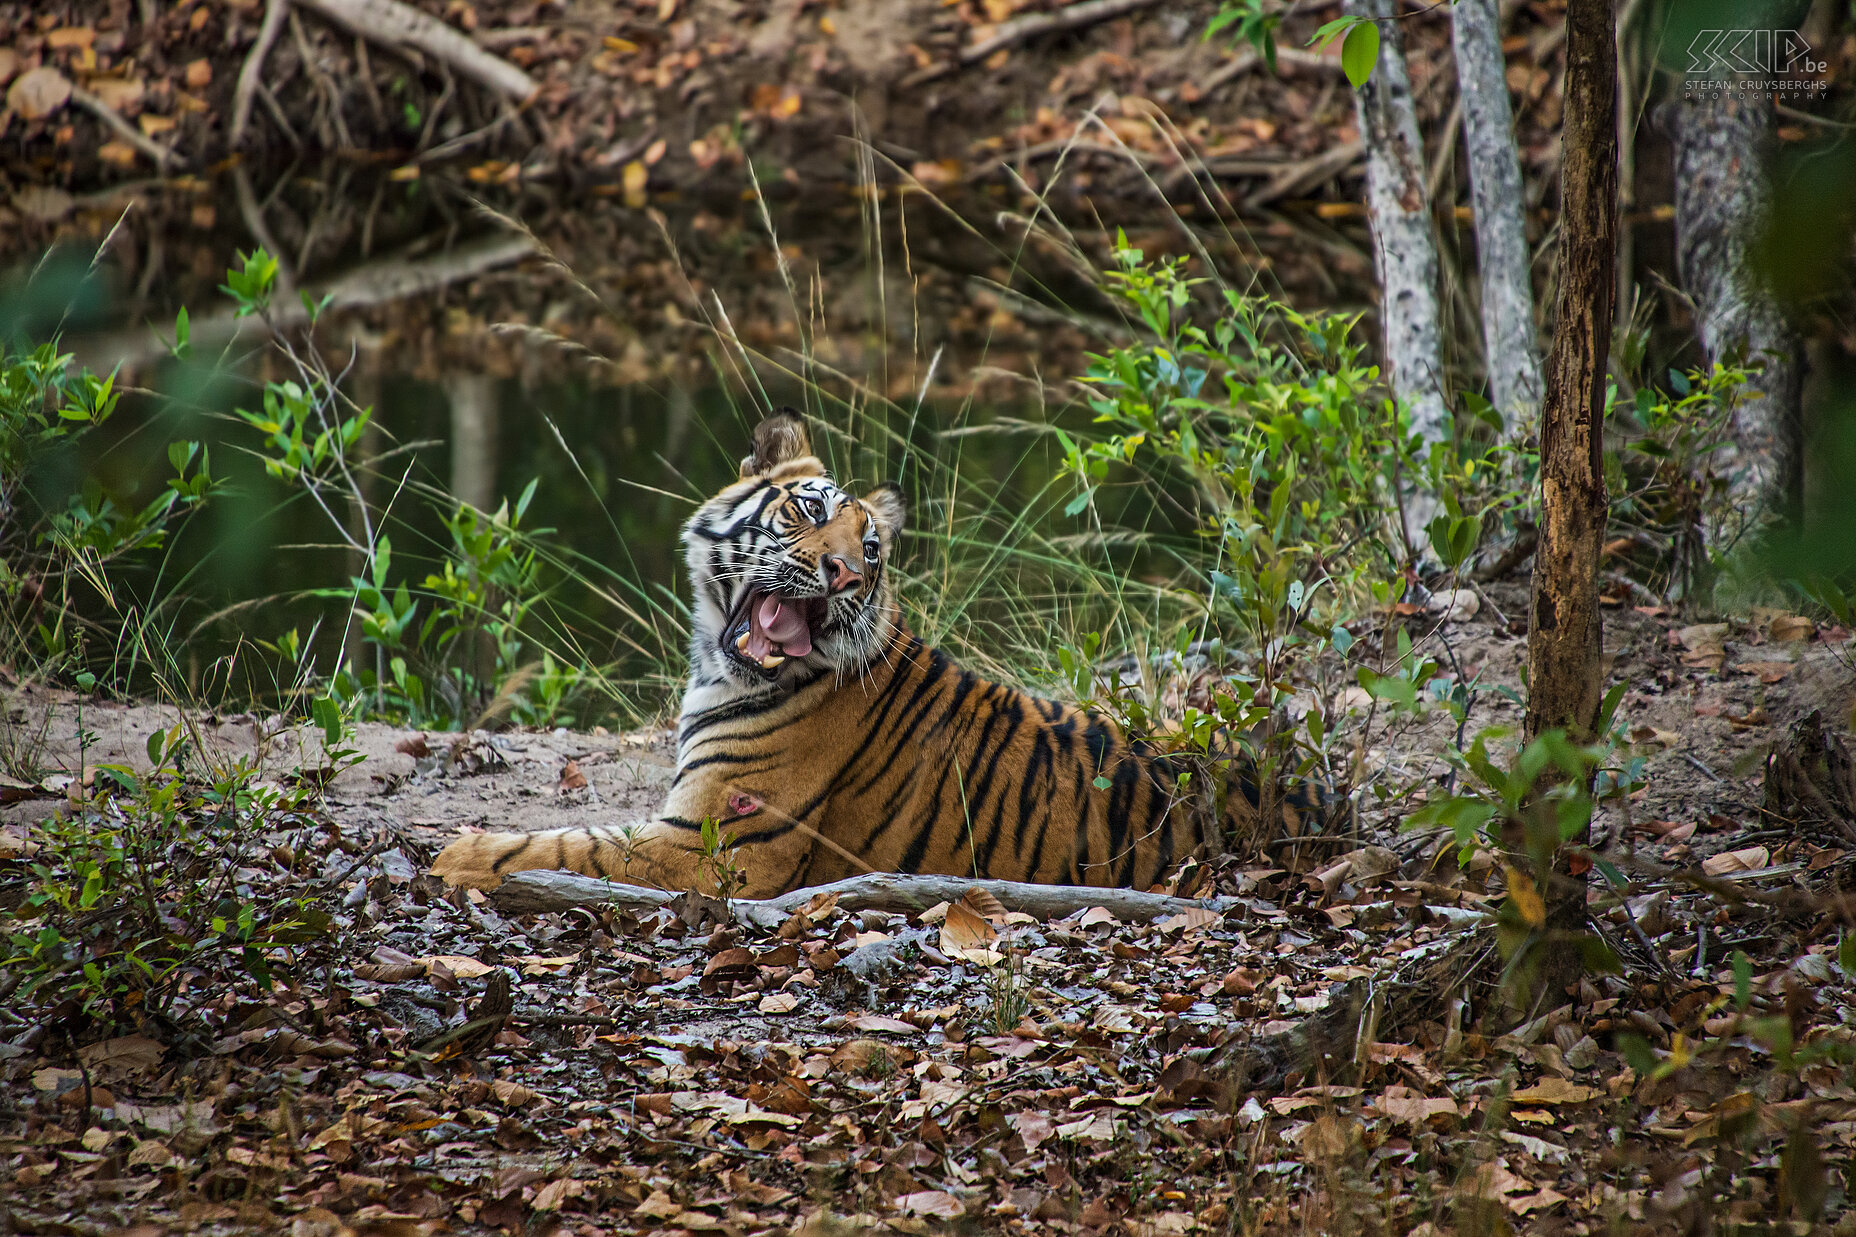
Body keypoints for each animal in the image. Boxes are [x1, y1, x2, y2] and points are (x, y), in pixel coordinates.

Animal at [434, 414, 1336, 895]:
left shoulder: (712, 845)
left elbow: (564, 844)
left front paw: (455, 851)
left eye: (871, 549)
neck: (720, 664)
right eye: (808, 511)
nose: (845, 572)